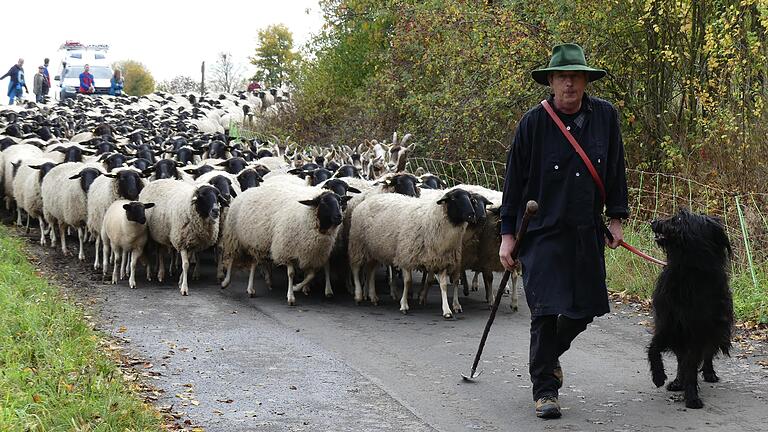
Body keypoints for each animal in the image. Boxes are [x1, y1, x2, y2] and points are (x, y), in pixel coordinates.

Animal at [218, 183, 346, 304]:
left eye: (339, 201)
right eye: (323, 202)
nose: (339, 217)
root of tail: (247, 190)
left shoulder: (311, 255)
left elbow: (311, 275)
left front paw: (297, 287)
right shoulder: (286, 250)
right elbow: (291, 274)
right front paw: (291, 296)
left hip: (256, 241)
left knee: (253, 263)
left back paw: (251, 289)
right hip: (234, 236)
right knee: (232, 258)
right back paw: (225, 282)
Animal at [350, 188, 480, 318]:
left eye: (470, 198)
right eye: (453, 198)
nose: (471, 215)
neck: (431, 221)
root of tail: (368, 199)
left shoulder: (441, 261)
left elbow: (443, 286)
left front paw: (447, 310)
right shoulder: (406, 256)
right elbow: (408, 282)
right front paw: (404, 305)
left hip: (374, 250)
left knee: (371, 271)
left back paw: (373, 297)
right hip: (358, 245)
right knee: (356, 268)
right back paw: (358, 296)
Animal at [652, 209, 736, 408]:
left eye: (679, 218)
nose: (653, 222)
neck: (688, 270)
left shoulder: (698, 330)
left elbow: (691, 364)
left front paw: (691, 396)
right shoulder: (669, 323)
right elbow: (654, 347)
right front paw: (659, 375)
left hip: (716, 328)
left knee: (707, 354)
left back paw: (708, 373)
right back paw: (677, 382)